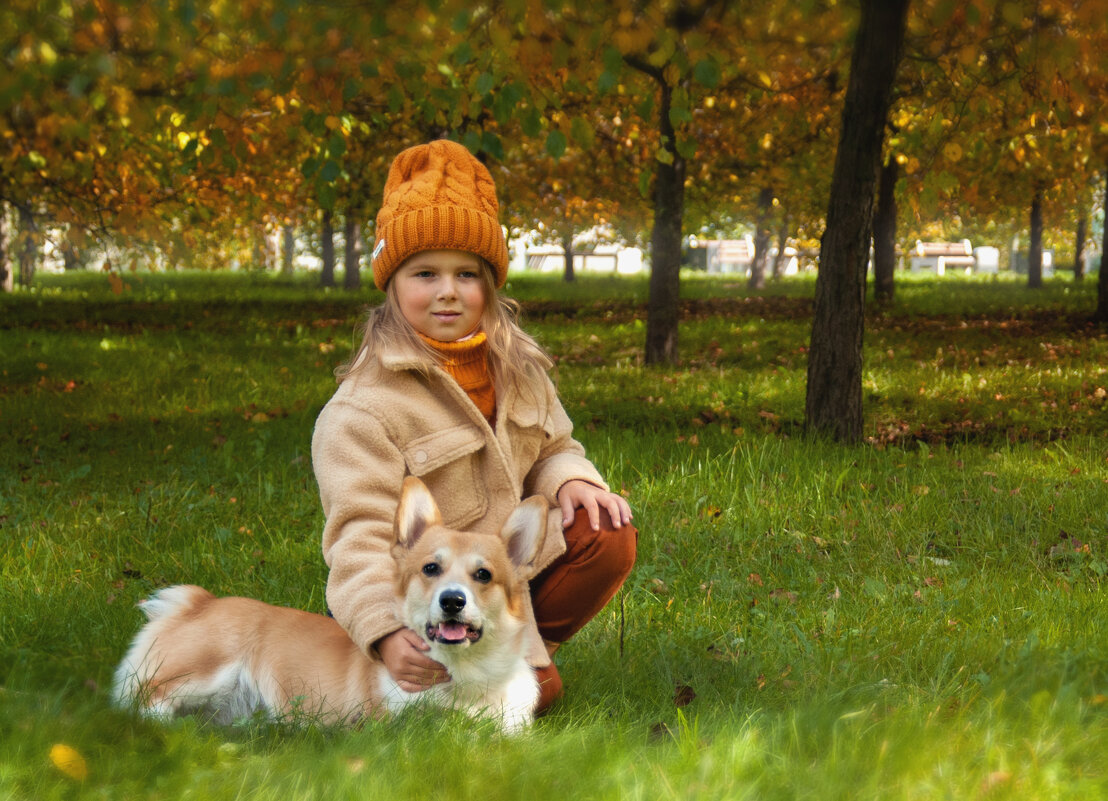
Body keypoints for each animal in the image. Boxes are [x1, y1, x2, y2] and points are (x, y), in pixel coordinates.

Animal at [111, 476, 545, 731]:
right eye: (430, 568)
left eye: (483, 575)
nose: (452, 601)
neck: (465, 675)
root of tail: (197, 602)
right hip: (206, 670)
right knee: (144, 699)